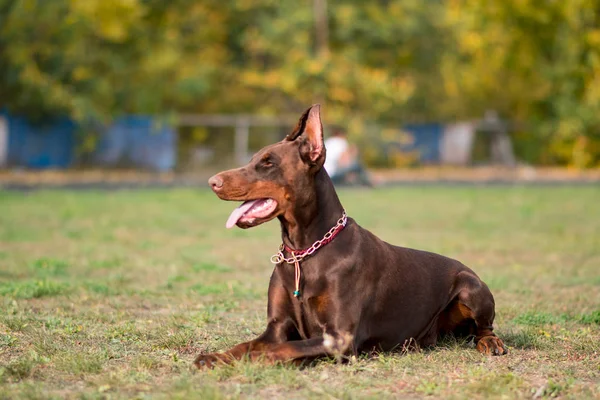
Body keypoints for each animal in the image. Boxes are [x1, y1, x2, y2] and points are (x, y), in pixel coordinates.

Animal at [197, 104, 506, 368]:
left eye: (268, 163)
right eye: (253, 160)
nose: (212, 182)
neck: (304, 252)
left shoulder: (340, 337)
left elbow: (282, 349)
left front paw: (256, 359)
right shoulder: (276, 327)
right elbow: (248, 345)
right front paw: (215, 357)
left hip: (471, 287)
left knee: (484, 328)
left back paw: (491, 343)